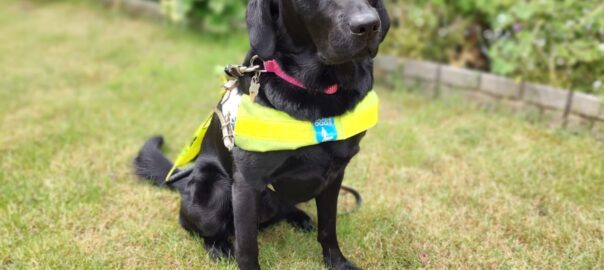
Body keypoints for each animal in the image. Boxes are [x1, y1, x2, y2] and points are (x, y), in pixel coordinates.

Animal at [134, 0, 390, 270]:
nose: (368, 25)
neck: (317, 90)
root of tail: (185, 182)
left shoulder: (335, 174)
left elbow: (328, 228)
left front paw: (337, 262)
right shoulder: (247, 183)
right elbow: (247, 246)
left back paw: (300, 217)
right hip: (215, 189)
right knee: (195, 226)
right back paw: (218, 247)